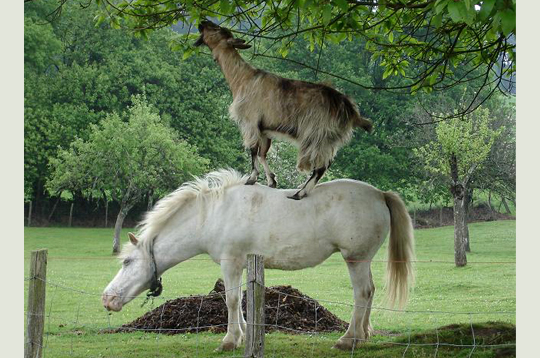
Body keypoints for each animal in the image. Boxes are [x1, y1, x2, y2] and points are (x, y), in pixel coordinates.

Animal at [102, 169, 414, 352]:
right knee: (370, 292)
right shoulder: (241, 265)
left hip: (355, 259)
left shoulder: (230, 262)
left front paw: (229, 341)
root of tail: (379, 194)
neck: (214, 215)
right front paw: (241, 336)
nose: (107, 298)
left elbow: (230, 300)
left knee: (362, 293)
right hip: (362, 260)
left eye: (127, 262)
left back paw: (349, 339)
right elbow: (238, 299)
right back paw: (364, 334)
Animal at [194, 20, 372, 199]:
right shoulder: (264, 129)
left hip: (319, 136)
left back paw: (299, 193)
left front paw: (252, 178)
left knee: (321, 167)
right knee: (324, 165)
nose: (202, 22)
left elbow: (253, 150)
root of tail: (351, 112)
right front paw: (272, 181)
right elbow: (262, 153)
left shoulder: (250, 122)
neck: (243, 78)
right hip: (329, 140)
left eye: (216, 29)